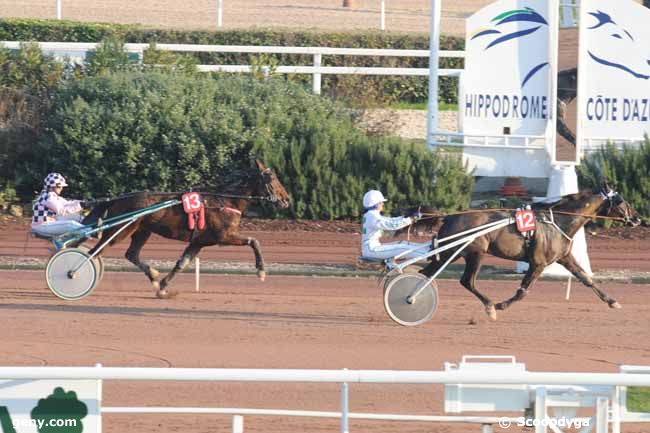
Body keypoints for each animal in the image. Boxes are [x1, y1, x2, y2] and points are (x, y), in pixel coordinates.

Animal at [83, 160, 288, 298]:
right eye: (272, 178)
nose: (286, 199)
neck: (226, 201)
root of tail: (114, 199)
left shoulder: (199, 242)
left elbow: (182, 263)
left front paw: (163, 287)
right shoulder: (224, 236)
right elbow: (254, 241)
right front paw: (261, 271)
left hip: (142, 231)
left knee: (131, 254)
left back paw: (153, 275)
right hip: (120, 230)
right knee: (95, 252)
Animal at [420, 183, 636, 320]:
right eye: (621, 200)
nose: (637, 218)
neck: (559, 221)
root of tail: (449, 216)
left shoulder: (565, 258)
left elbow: (586, 279)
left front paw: (612, 301)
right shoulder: (538, 263)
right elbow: (522, 291)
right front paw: (500, 305)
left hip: (451, 254)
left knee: (426, 274)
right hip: (473, 253)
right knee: (467, 281)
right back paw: (490, 306)